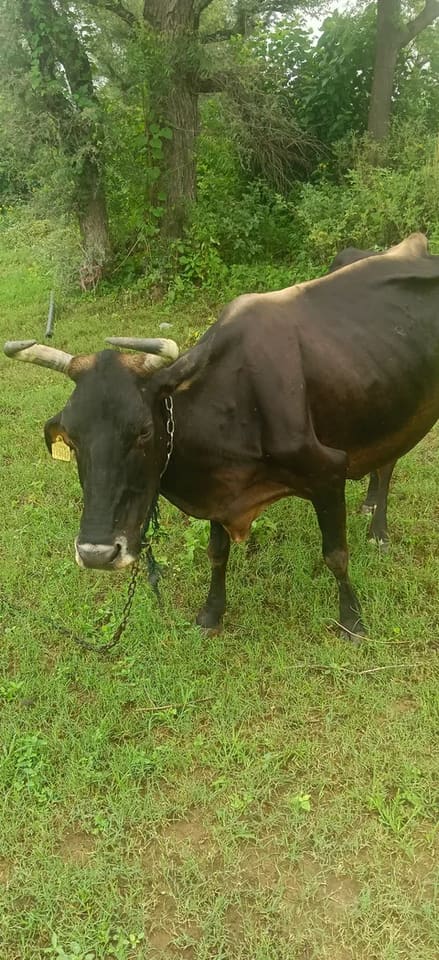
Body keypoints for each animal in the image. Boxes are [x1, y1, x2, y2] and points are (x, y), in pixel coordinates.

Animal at [4, 233, 439, 641]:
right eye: (71, 438)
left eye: (144, 431)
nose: (96, 553)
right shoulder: (218, 488)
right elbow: (217, 553)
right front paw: (211, 614)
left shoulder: (328, 470)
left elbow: (336, 554)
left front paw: (352, 620)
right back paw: (369, 505)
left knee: (389, 463)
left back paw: (378, 530)